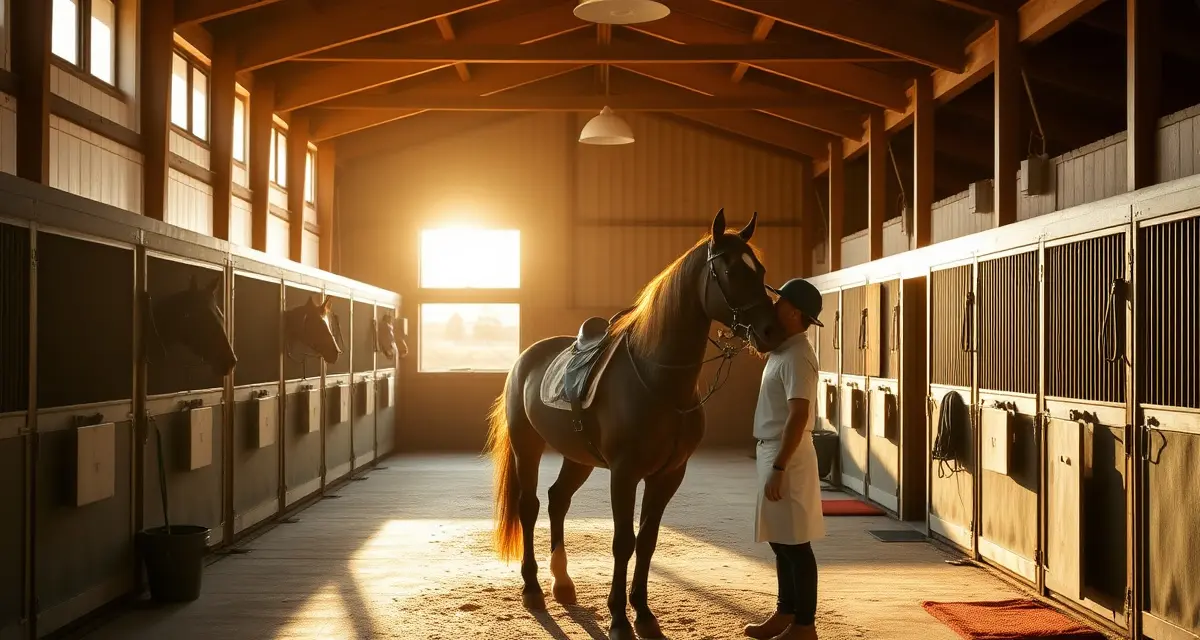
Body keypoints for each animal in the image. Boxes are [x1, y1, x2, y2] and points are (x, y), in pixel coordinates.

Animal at [485, 209, 786, 640]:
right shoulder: (624, 474)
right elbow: (623, 542)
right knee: (530, 506)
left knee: (558, 499)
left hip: (579, 457)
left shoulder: (668, 475)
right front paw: (618, 619)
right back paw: (533, 590)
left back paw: (563, 584)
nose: (770, 331)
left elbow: (647, 541)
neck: (659, 380)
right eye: (728, 269)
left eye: (759, 269)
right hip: (527, 446)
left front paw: (643, 613)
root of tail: (524, 359)